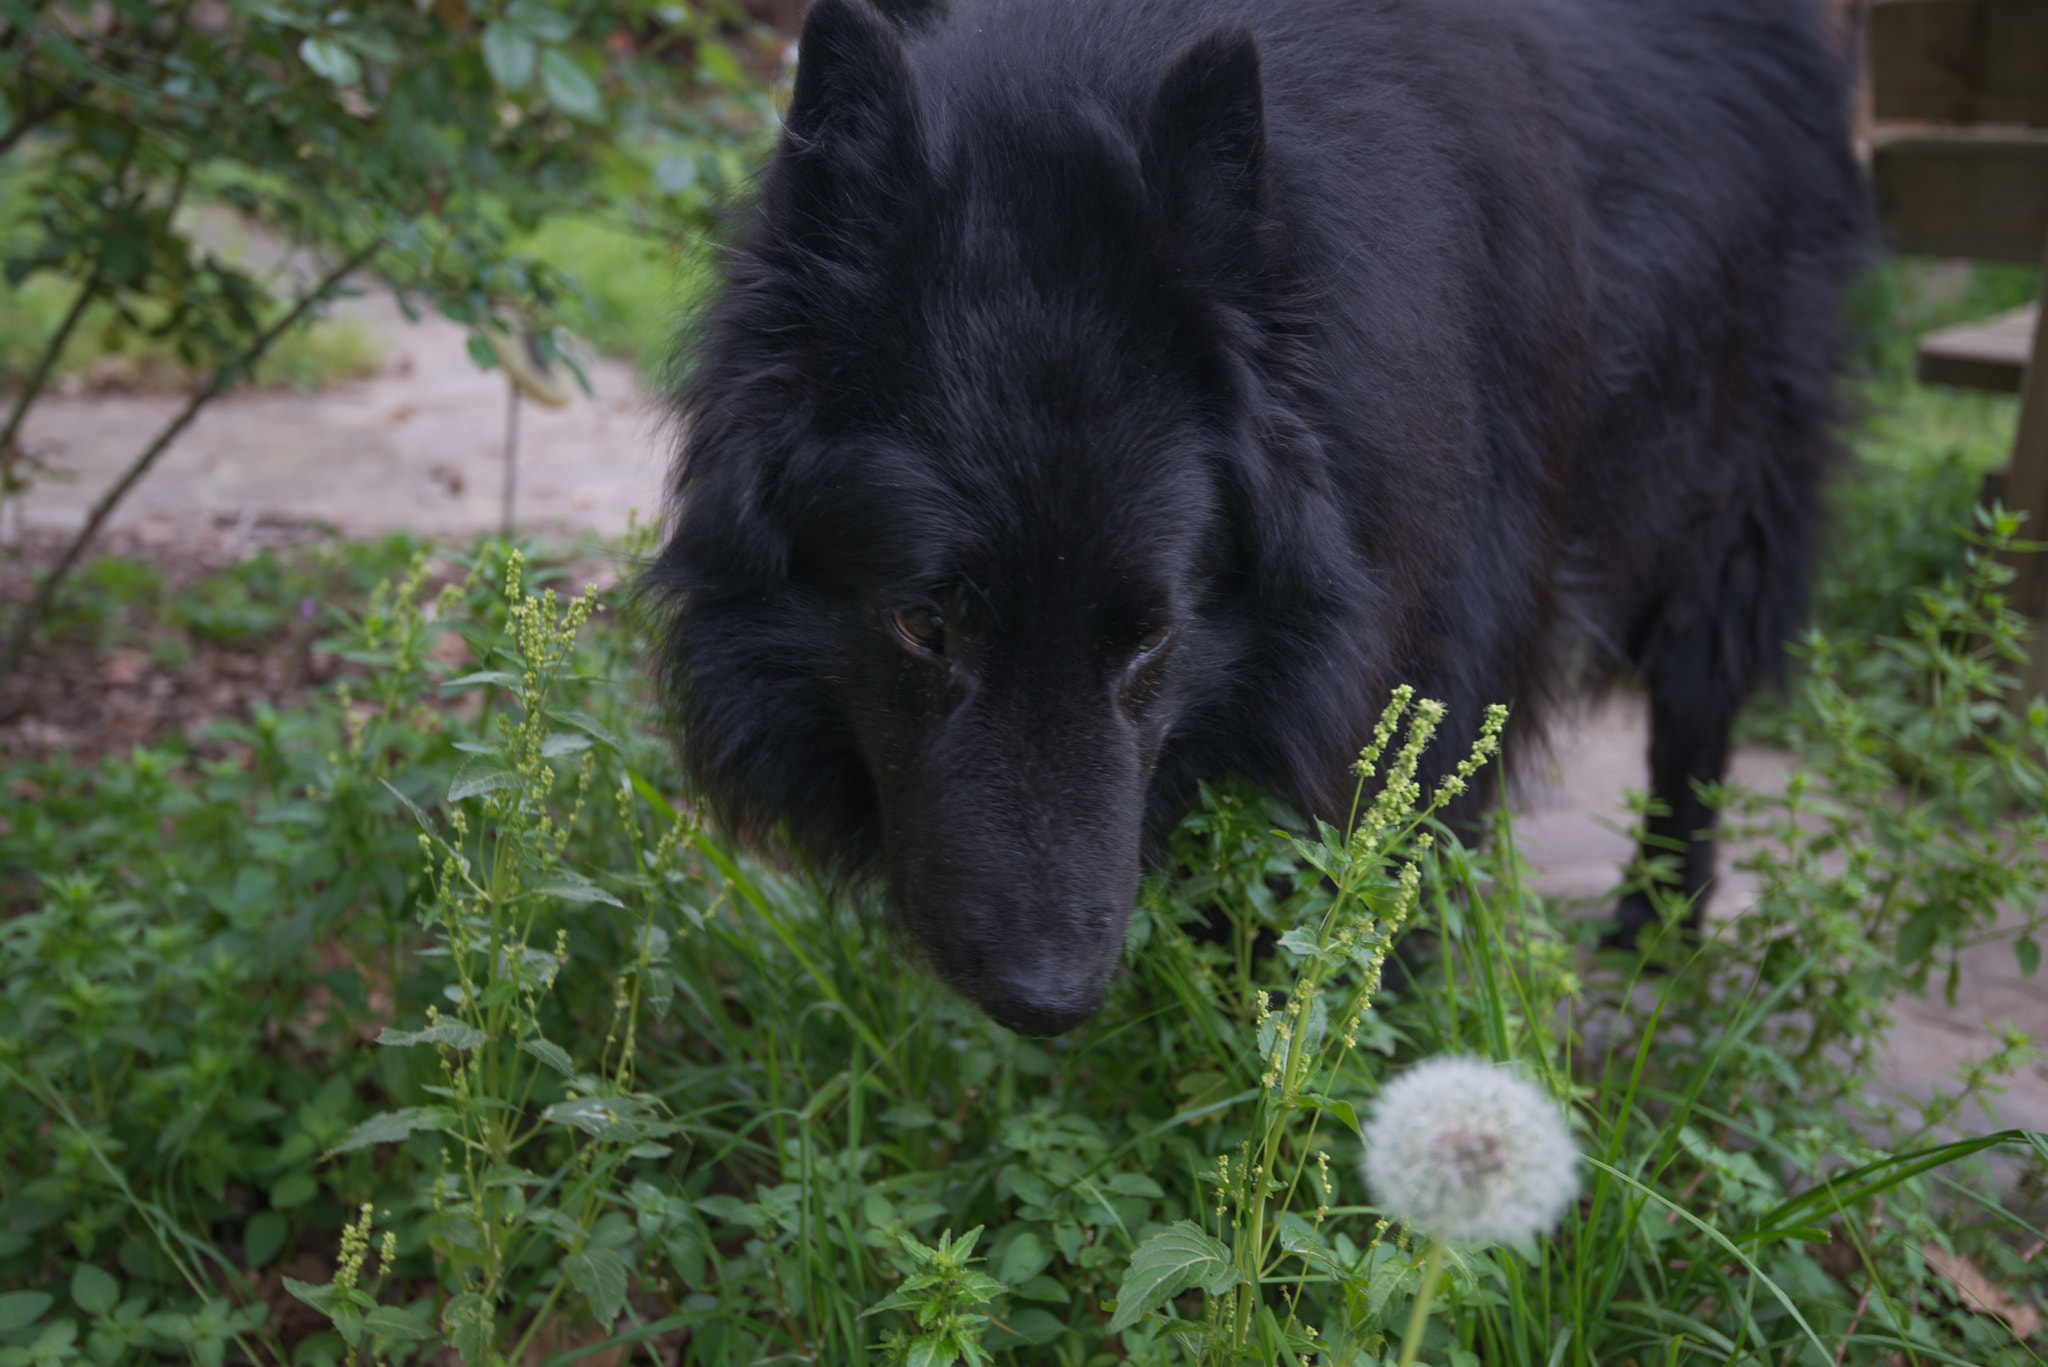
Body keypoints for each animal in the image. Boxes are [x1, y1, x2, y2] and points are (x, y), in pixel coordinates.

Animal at [643, 0, 1875, 1032]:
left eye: (1151, 637)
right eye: (924, 625)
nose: (1052, 1001)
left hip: (1725, 493)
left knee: (1694, 708)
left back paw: (1656, 924)